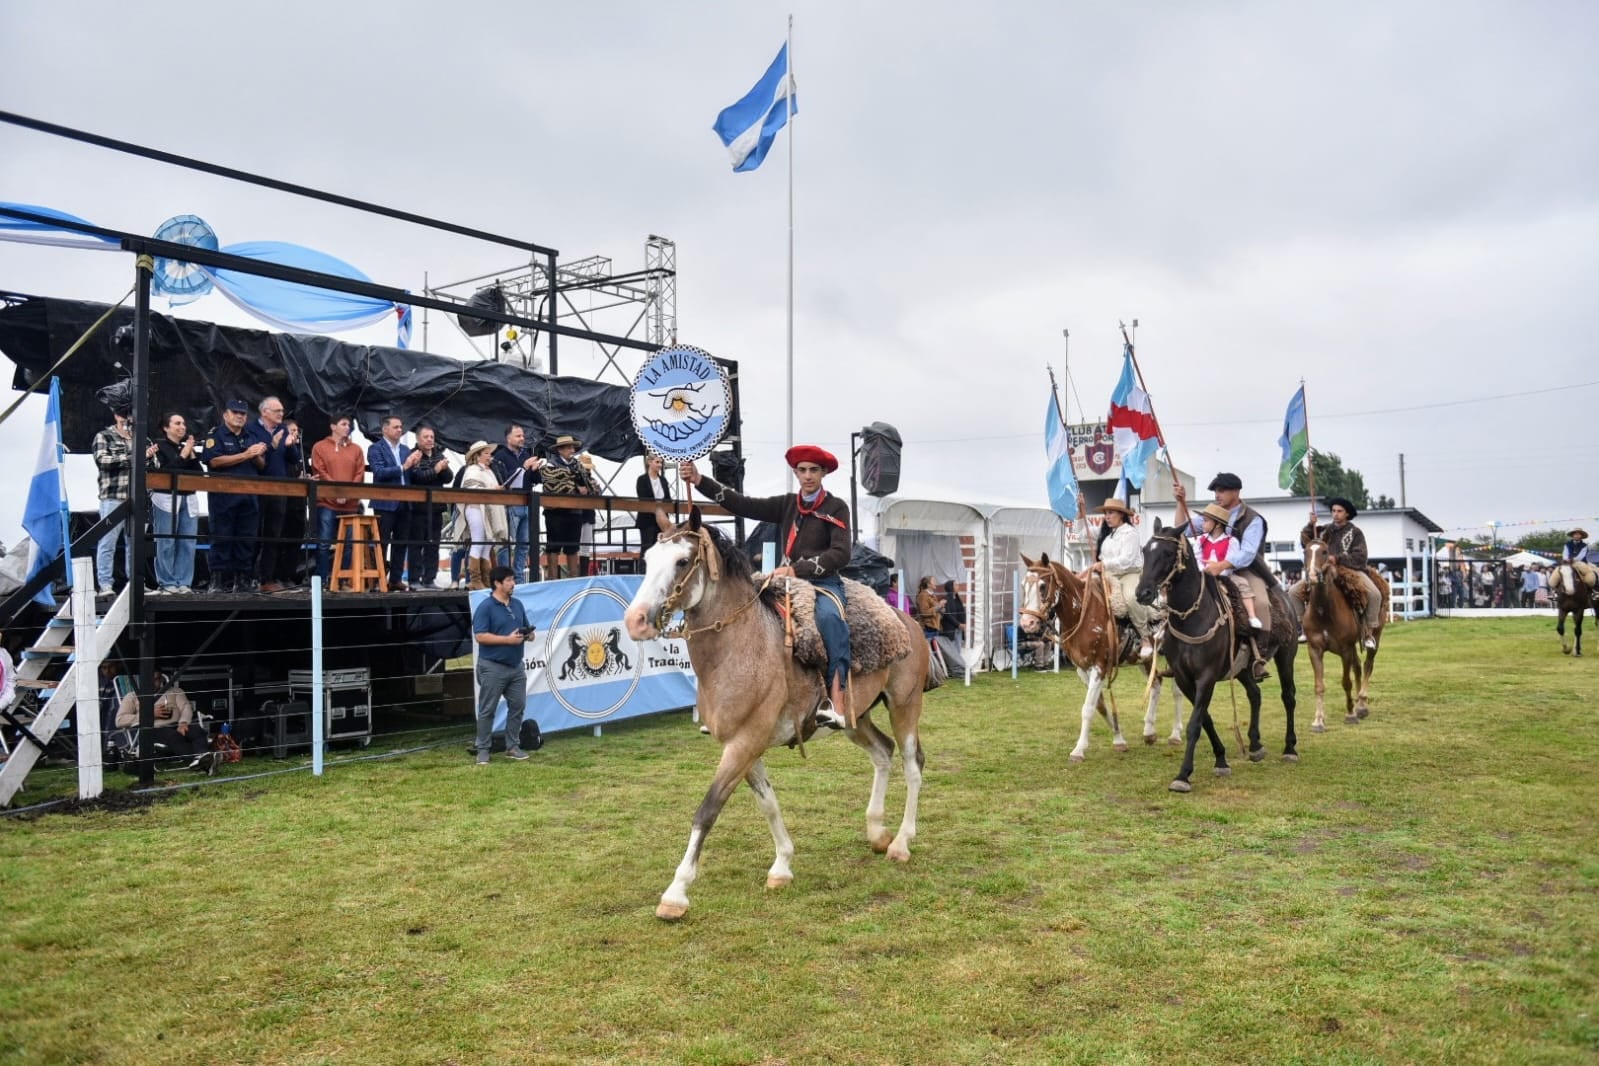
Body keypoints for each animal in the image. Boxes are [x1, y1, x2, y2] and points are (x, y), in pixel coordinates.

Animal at [620, 511, 933, 920]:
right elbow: (767, 802)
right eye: (646, 559)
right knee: (883, 753)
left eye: (682, 561)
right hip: (856, 718)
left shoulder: (743, 743)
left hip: (904, 704)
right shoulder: (745, 746)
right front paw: (782, 865)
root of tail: (907, 620)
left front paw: (676, 893)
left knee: (913, 765)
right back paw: (877, 832)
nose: (636, 621)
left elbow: (708, 809)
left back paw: (900, 843)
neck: (740, 647)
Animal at [1016, 556, 1183, 763]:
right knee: (1156, 683)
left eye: (1042, 586)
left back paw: (1175, 734)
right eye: (1023, 585)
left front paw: (1078, 750)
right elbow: (1100, 706)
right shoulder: (1082, 669)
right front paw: (1119, 740)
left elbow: (1088, 708)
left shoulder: (1099, 667)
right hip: (1145, 660)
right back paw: (1149, 731)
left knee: (1177, 691)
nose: (1027, 623)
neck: (1083, 613)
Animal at [1138, 521, 1298, 795]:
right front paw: (1221, 759)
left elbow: (1195, 723)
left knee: (1288, 697)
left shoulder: (1207, 676)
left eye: (1168, 553)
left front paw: (1183, 775)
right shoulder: (1184, 678)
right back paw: (1254, 745)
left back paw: (1290, 748)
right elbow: (1205, 719)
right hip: (1243, 669)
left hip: (1286, 656)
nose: (1142, 593)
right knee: (1255, 694)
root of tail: (1286, 598)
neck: (1192, 617)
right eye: (1145, 551)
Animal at [1298, 543, 1387, 735]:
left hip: (1375, 636)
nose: (1312, 576)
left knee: (1367, 665)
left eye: (1324, 552)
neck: (1324, 611)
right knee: (1358, 667)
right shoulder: (1314, 650)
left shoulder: (1345, 649)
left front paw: (1350, 714)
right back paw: (1358, 704)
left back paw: (1361, 704)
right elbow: (1319, 685)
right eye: (1305, 551)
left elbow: (1346, 682)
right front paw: (1318, 721)